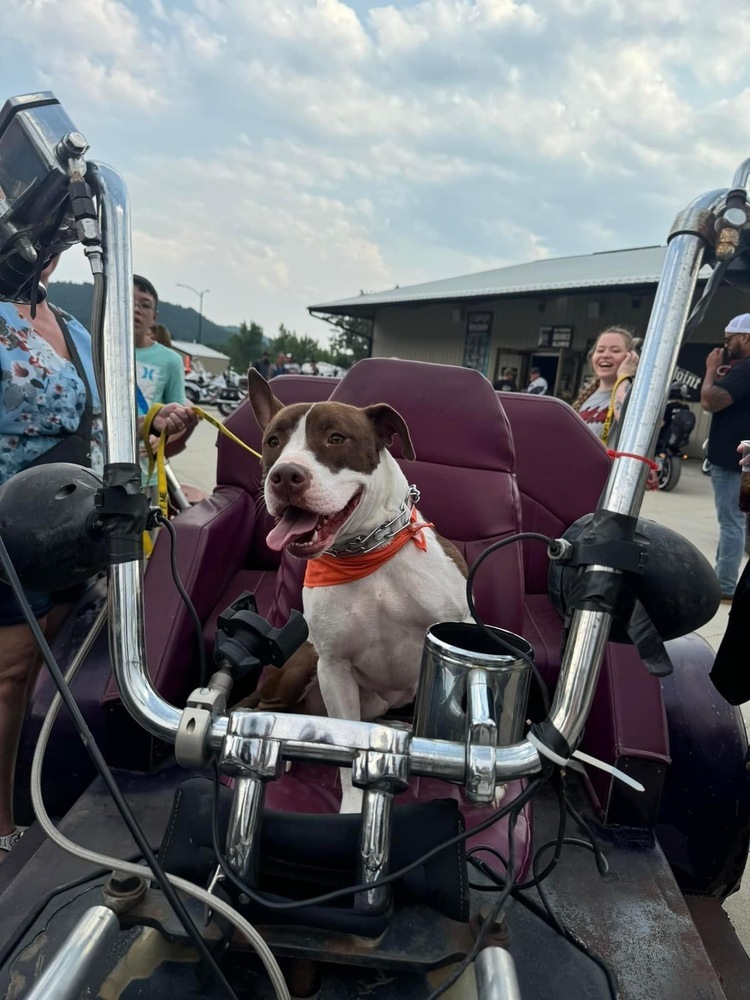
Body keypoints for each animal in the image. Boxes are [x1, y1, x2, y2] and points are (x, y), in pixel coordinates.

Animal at [247, 372, 470, 808]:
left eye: (336, 438)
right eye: (273, 441)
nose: (285, 476)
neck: (365, 553)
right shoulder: (334, 666)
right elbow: (349, 745)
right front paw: (352, 805)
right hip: (302, 662)